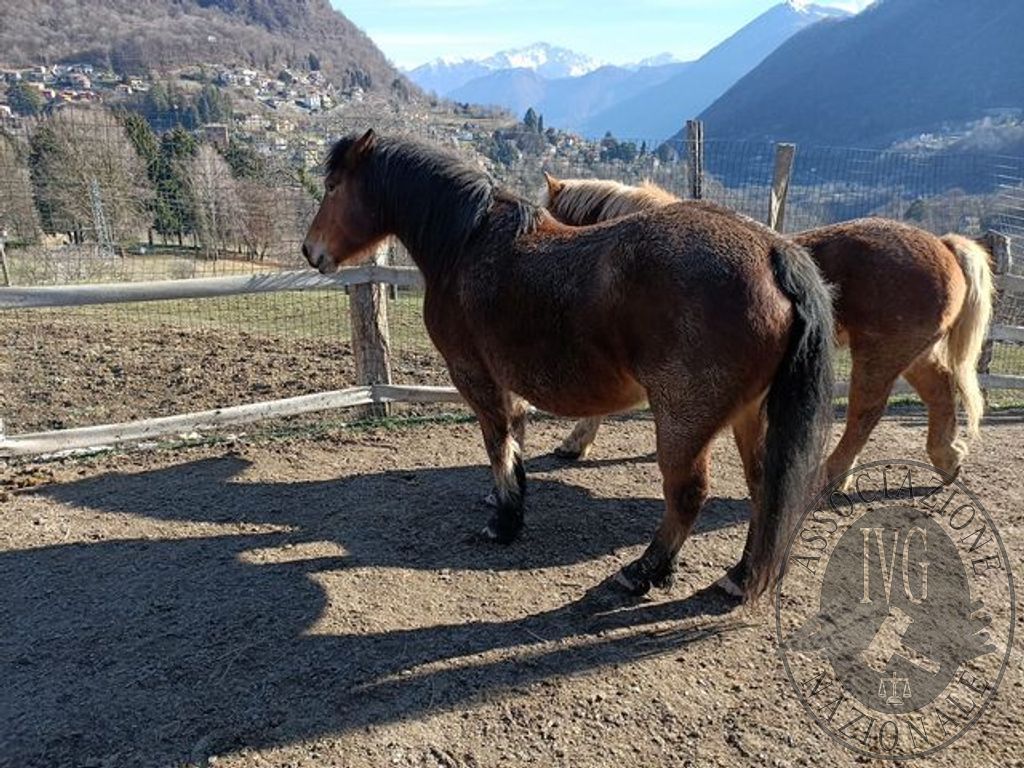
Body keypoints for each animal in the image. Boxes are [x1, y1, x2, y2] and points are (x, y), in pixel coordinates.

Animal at [303, 130, 835, 601]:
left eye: (333, 186)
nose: (311, 250)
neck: (468, 243)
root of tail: (772, 252)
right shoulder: (510, 384)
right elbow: (514, 441)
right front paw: (510, 501)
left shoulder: (477, 379)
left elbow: (497, 443)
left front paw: (504, 522)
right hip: (750, 415)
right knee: (765, 489)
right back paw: (739, 576)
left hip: (683, 422)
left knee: (688, 494)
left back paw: (643, 571)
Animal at [542, 173, 995, 489]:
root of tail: (942, 244)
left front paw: (576, 442)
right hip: (912, 353)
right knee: (939, 390)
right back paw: (947, 459)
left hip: (879, 356)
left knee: (865, 413)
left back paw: (833, 475)